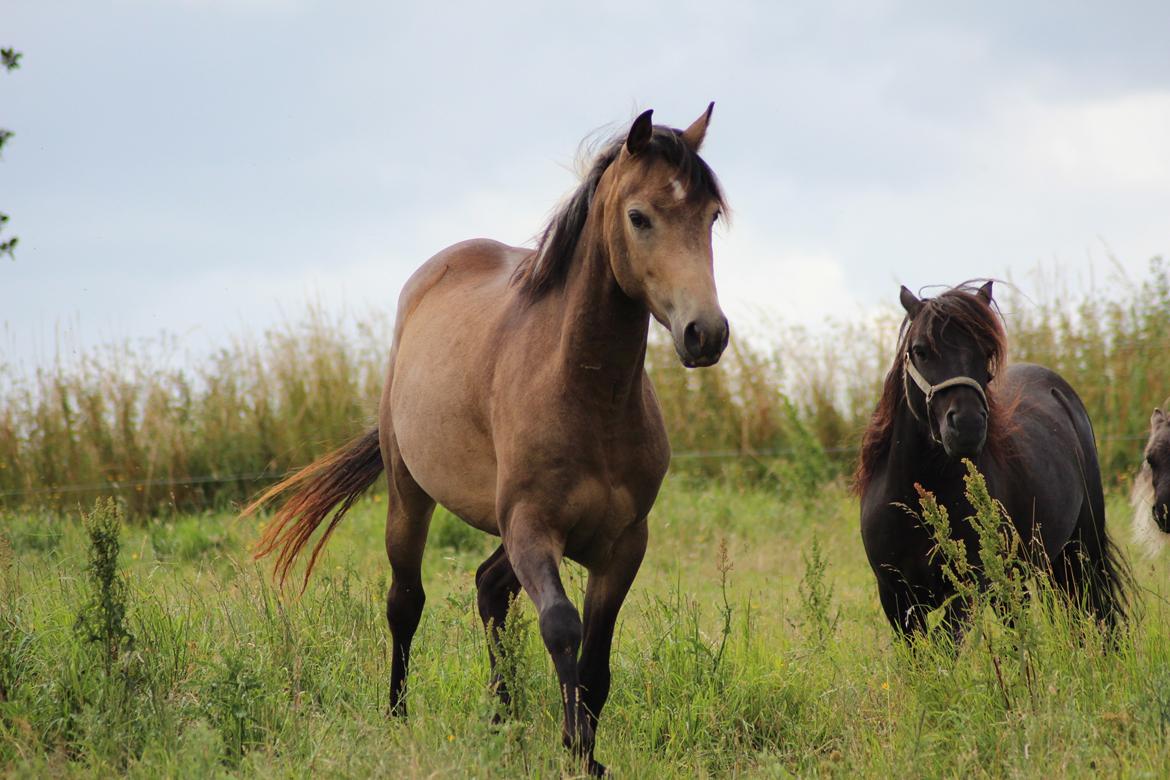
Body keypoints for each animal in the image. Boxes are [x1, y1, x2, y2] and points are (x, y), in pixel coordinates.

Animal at [242, 105, 725, 776]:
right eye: (639, 216)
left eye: (711, 217)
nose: (705, 333)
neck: (587, 394)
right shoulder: (530, 527)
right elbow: (562, 627)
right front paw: (574, 746)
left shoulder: (623, 544)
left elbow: (597, 658)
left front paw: (586, 750)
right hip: (410, 497)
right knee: (406, 600)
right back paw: (399, 717)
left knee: (489, 588)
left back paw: (502, 720)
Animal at [856, 284, 1127, 636]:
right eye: (920, 350)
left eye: (985, 352)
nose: (968, 425)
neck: (916, 496)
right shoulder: (895, 597)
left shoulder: (968, 589)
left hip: (1080, 548)